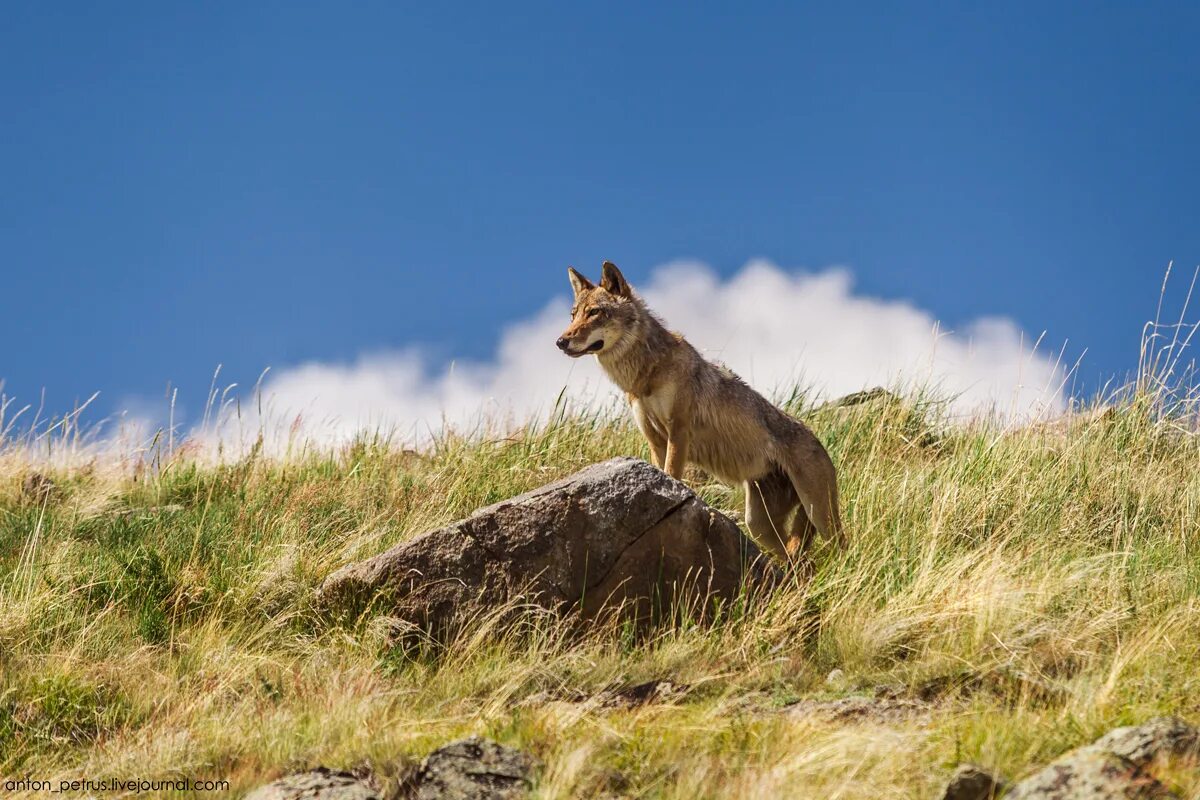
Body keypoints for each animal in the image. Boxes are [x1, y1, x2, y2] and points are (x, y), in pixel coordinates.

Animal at [554, 262, 844, 563]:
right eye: (574, 315)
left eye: (594, 313)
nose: (560, 341)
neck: (646, 373)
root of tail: (819, 442)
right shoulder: (655, 440)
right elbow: (662, 470)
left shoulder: (678, 430)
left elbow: (672, 474)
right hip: (758, 524)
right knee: (796, 558)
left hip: (819, 516)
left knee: (840, 544)